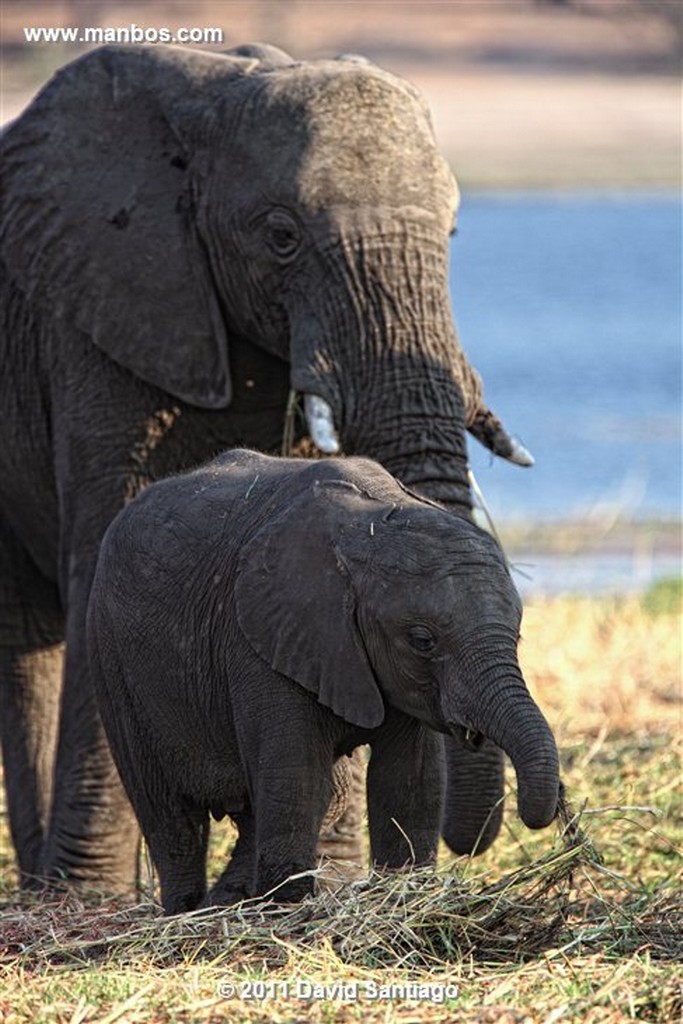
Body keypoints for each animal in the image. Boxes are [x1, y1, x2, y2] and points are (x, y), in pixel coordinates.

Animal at [0, 41, 532, 888]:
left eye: (451, 233)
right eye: (280, 236)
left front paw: (333, 882)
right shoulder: (102, 312)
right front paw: (91, 892)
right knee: (26, 636)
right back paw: (61, 890)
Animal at [88, 452, 557, 917]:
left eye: (517, 637)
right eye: (422, 640)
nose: (539, 815)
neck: (372, 522)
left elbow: (408, 780)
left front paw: (402, 889)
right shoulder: (261, 637)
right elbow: (296, 777)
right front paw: (289, 907)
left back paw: (227, 901)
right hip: (112, 659)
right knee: (170, 815)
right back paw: (188, 911)